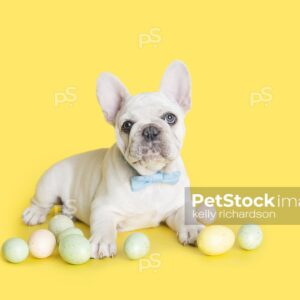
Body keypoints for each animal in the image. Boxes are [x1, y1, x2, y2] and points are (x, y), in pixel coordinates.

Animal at [21, 60, 204, 258]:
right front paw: (102, 241)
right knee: (40, 202)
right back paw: (34, 213)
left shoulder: (177, 207)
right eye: (127, 125)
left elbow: (185, 214)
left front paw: (193, 229)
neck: (151, 176)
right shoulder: (103, 207)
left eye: (170, 118)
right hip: (48, 184)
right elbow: (104, 225)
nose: (149, 130)